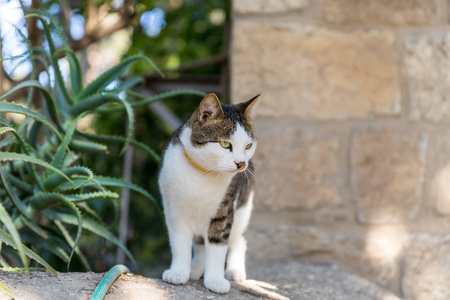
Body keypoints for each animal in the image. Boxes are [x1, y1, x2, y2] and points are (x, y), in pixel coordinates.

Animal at [158, 93, 258, 292]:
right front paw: (178, 272)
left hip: (244, 206)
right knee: (200, 244)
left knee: (238, 239)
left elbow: (218, 245)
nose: (241, 163)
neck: (203, 174)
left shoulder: (225, 209)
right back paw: (195, 270)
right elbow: (180, 243)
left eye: (248, 146)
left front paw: (215, 280)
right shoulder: (174, 209)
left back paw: (235, 270)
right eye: (225, 144)